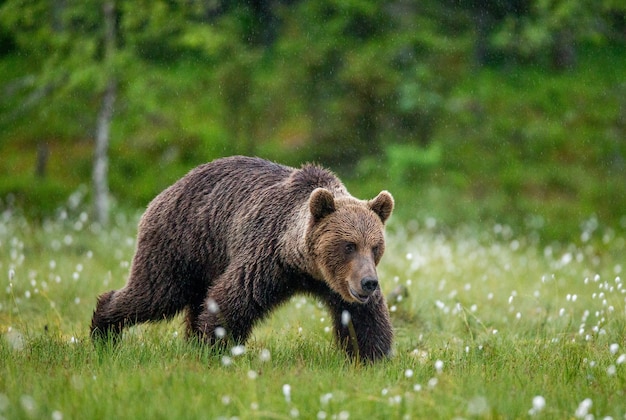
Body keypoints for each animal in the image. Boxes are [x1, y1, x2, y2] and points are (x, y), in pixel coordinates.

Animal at [90, 157, 392, 360]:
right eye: (349, 245)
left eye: (375, 246)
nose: (368, 283)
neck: (304, 267)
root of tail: (167, 189)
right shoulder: (267, 258)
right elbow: (232, 299)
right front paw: (215, 346)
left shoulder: (338, 284)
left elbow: (364, 316)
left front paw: (373, 356)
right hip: (179, 245)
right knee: (155, 293)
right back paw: (103, 330)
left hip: (206, 260)